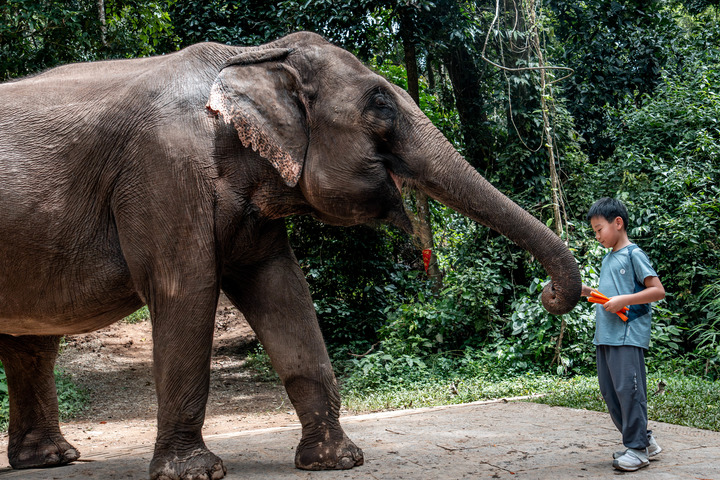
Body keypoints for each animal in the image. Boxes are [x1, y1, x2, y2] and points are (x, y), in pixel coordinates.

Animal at [0, 31, 581, 479]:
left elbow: (283, 291)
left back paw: (50, 460)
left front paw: (336, 461)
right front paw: (195, 473)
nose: (549, 294)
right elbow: (185, 293)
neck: (250, 56)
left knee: (31, 343)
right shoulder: (164, 173)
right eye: (381, 106)